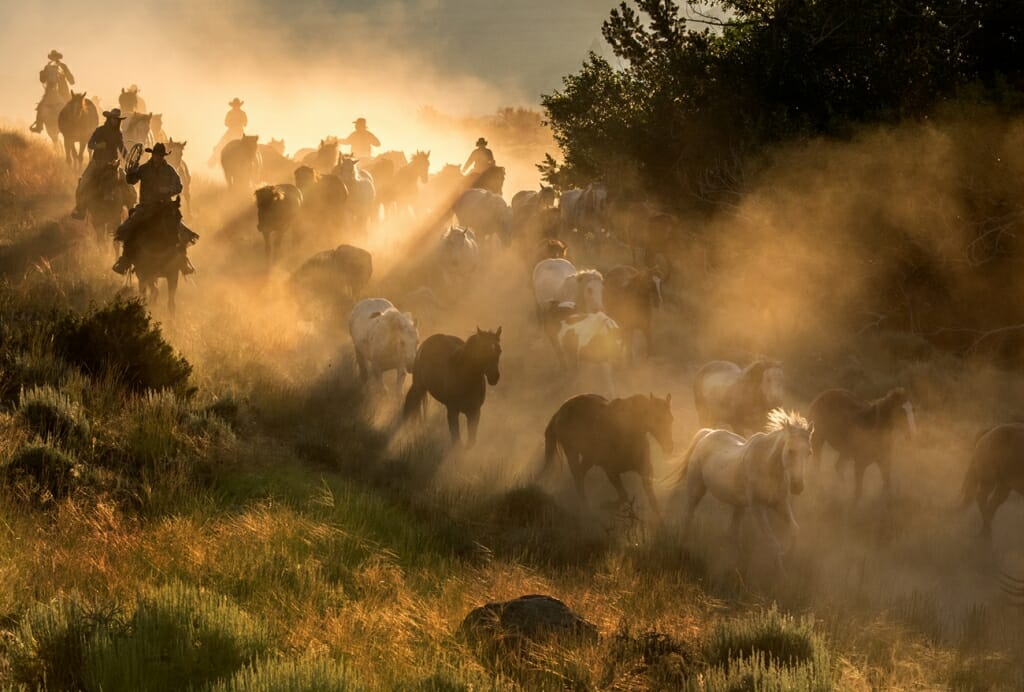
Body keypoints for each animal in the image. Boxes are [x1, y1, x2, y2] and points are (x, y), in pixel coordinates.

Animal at [540, 395, 675, 520]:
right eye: (657, 419)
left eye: (671, 419)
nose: (669, 447)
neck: (627, 434)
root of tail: (560, 411)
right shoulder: (611, 471)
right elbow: (624, 495)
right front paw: (606, 505)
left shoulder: (645, 471)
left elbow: (652, 501)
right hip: (572, 454)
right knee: (578, 478)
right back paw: (587, 510)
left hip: (588, 458)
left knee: (580, 475)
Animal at [675, 407, 811, 569]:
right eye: (790, 450)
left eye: (809, 453)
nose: (798, 487)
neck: (767, 466)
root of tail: (707, 434)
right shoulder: (758, 508)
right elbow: (773, 544)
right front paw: (781, 571)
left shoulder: (780, 504)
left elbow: (795, 530)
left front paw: (788, 556)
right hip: (696, 489)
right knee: (687, 516)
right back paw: (682, 549)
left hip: (739, 506)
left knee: (732, 532)